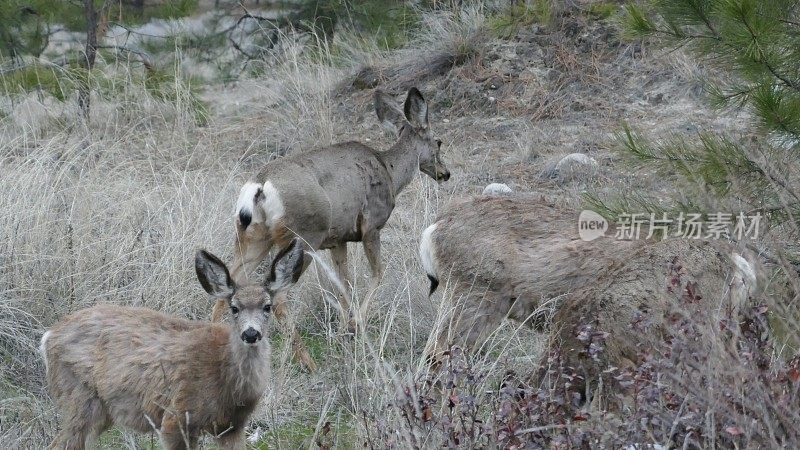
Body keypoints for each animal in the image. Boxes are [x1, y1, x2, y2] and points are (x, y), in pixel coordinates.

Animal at [39, 237, 306, 448]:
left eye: (267, 306)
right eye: (234, 308)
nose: (251, 334)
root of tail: (49, 336)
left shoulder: (233, 426)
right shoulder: (176, 418)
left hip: (99, 411)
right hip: (79, 398)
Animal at [223, 87, 450, 370]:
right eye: (438, 142)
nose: (445, 173)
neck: (389, 171)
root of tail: (260, 186)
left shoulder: (338, 239)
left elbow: (344, 285)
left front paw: (344, 330)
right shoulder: (371, 226)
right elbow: (377, 274)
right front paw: (356, 324)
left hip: (253, 237)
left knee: (231, 281)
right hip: (302, 238)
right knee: (279, 296)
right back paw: (307, 361)